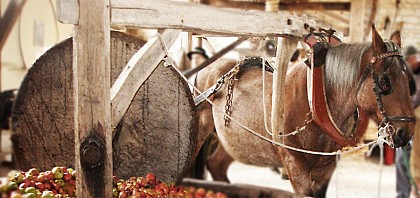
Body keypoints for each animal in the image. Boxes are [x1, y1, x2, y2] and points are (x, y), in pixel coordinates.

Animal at [192, 25, 416, 196]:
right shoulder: (296, 166)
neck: (317, 99)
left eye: (409, 80)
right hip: (200, 127)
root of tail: (205, 70)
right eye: (385, 82)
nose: (405, 133)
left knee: (217, 165)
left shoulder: (326, 168)